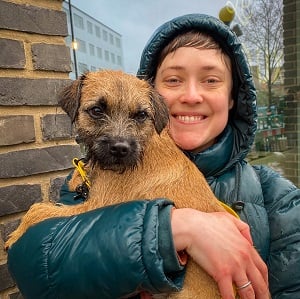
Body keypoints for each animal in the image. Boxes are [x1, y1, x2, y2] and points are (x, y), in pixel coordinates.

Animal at [5, 71, 233, 299]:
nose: (120, 148)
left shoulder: (95, 205)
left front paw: (16, 233)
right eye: (97, 110)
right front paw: (77, 177)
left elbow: (39, 209)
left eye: (141, 115)